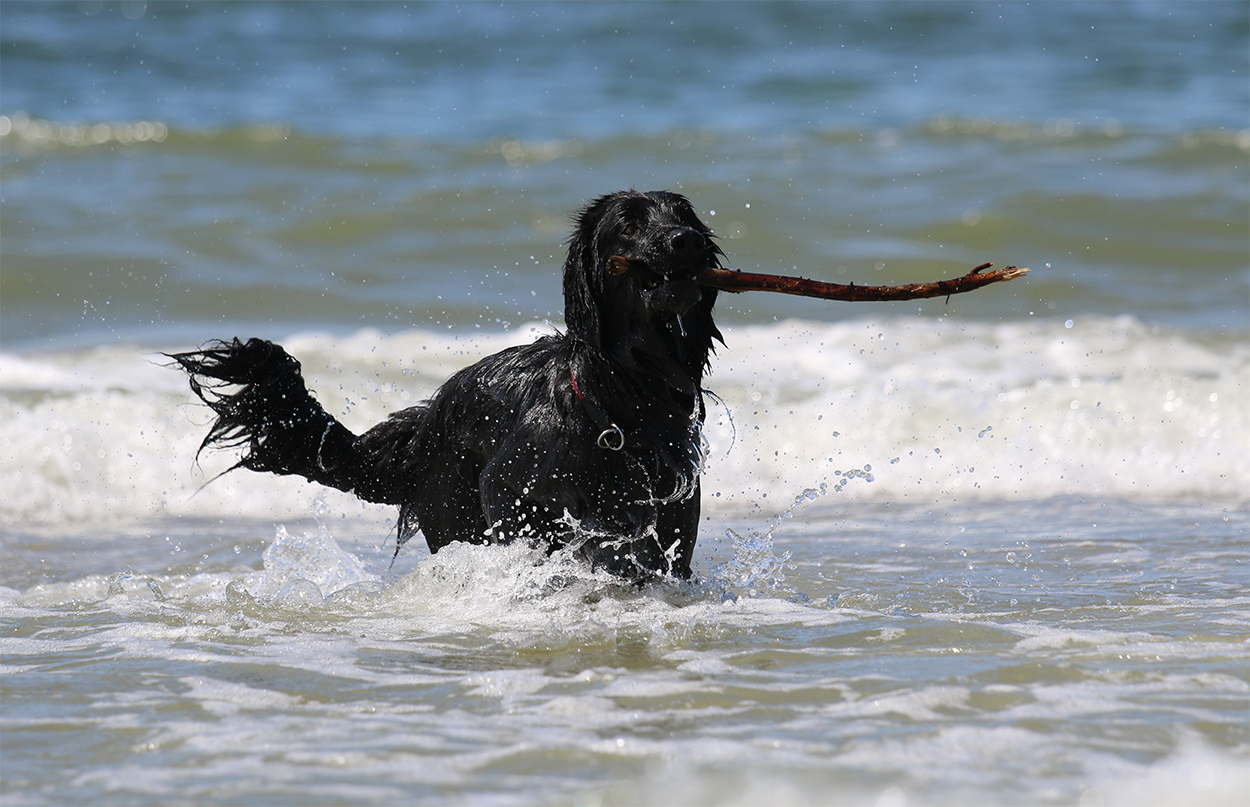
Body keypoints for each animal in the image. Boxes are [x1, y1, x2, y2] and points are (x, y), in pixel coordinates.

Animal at [169, 190, 725, 581]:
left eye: (684, 215)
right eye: (629, 224)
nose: (688, 241)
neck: (624, 399)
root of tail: (426, 424)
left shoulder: (674, 520)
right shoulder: (507, 489)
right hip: (455, 514)